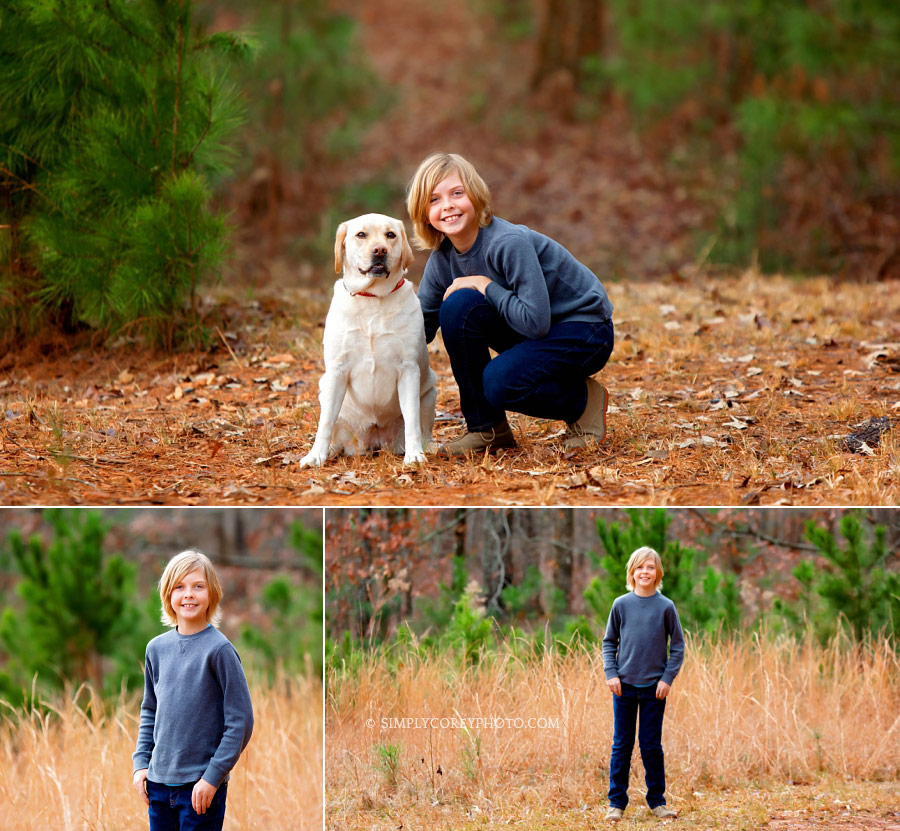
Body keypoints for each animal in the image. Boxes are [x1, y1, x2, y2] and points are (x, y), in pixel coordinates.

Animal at [298, 214, 436, 468]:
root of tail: (374, 438)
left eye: (391, 235)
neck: (372, 298)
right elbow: (325, 423)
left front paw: (414, 455)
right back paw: (329, 450)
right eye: (361, 234)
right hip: (325, 390)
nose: (380, 250)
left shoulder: (408, 369)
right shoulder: (337, 370)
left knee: (423, 428)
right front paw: (315, 456)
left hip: (430, 391)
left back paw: (428, 448)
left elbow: (411, 418)